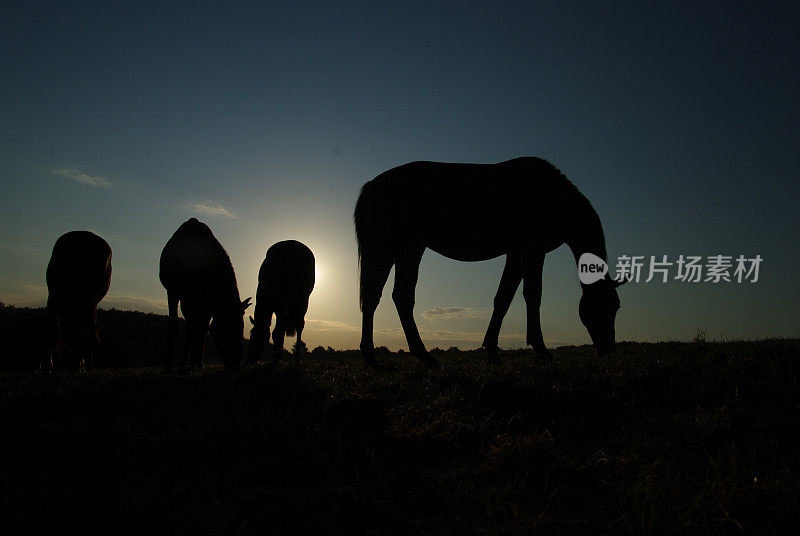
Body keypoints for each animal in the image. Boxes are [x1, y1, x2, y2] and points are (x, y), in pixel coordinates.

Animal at [159, 218, 252, 372]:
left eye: (242, 325)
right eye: (227, 324)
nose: (235, 361)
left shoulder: (206, 302)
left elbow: (199, 327)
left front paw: (193, 363)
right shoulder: (174, 291)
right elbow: (175, 325)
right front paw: (169, 367)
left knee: (195, 325)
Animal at [354, 156, 624, 368]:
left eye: (616, 307)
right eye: (603, 307)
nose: (608, 350)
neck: (555, 197)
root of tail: (371, 186)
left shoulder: (515, 253)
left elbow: (503, 298)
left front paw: (493, 351)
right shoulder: (533, 250)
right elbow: (533, 294)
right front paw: (541, 350)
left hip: (394, 250)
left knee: (376, 297)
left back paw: (374, 356)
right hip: (406, 248)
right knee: (398, 296)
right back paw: (421, 357)